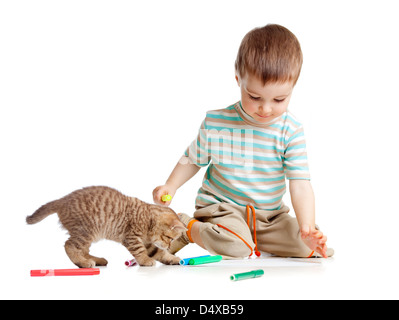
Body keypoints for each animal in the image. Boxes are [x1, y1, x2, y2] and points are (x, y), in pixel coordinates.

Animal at [26, 186, 186, 266]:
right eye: (170, 238)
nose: (169, 245)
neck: (148, 218)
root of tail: (62, 200)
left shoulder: (148, 243)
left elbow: (159, 252)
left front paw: (172, 258)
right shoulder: (131, 237)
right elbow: (140, 251)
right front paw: (145, 260)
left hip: (87, 235)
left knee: (83, 250)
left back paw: (96, 260)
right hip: (85, 231)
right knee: (69, 246)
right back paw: (83, 263)